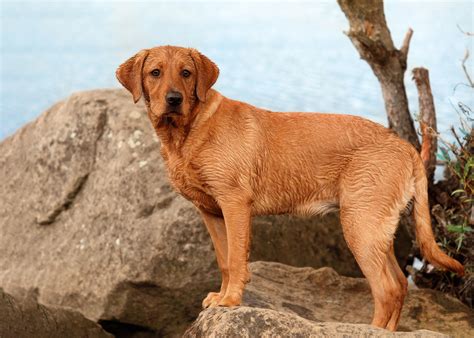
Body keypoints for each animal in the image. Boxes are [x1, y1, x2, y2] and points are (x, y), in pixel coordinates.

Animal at [116, 46, 464, 332]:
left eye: (186, 73)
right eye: (155, 72)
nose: (174, 99)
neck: (188, 130)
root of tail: (406, 147)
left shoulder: (235, 204)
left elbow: (237, 259)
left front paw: (231, 301)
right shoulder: (211, 213)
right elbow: (225, 260)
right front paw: (221, 295)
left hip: (359, 226)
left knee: (387, 290)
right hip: (376, 228)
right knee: (400, 285)